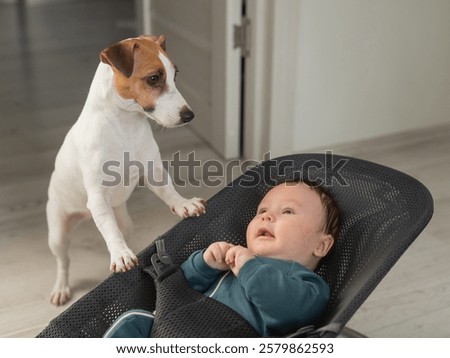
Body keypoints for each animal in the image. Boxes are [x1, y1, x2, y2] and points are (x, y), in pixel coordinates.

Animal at [46, 35, 205, 304]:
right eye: (153, 78)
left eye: (176, 74)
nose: (189, 115)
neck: (124, 126)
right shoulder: (98, 197)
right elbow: (109, 230)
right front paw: (120, 254)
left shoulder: (152, 171)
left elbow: (169, 191)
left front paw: (184, 204)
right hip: (58, 233)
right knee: (63, 261)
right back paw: (60, 287)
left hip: (125, 222)